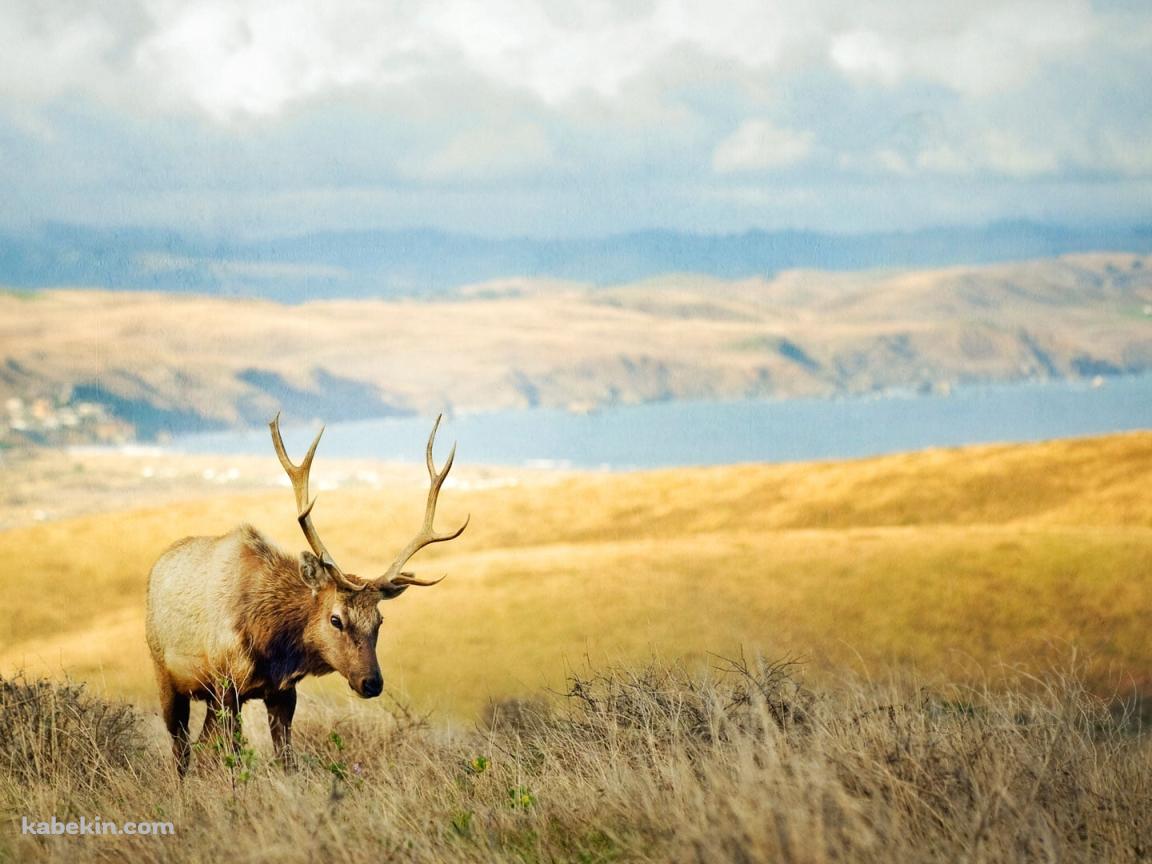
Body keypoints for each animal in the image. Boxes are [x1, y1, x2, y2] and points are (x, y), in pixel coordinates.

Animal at [145, 414, 468, 774]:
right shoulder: (227, 686)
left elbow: (287, 760)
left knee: (199, 744)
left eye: (380, 621)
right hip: (166, 674)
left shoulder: (282, 692)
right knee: (181, 748)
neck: (270, 642)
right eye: (336, 619)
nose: (372, 682)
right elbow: (235, 759)